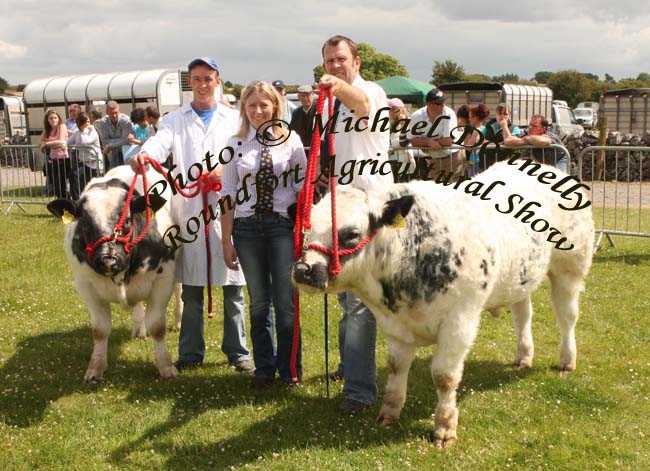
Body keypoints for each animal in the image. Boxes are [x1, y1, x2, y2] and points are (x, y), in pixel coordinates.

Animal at [48, 167, 182, 384]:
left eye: (126, 220)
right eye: (85, 223)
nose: (108, 260)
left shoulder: (163, 280)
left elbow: (157, 326)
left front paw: (166, 367)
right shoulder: (86, 286)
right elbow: (99, 330)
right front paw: (95, 369)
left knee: (180, 292)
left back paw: (178, 321)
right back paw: (138, 329)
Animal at [292, 161, 592, 450]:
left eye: (352, 234)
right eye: (306, 229)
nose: (304, 270)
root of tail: (548, 169)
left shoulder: (460, 321)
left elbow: (444, 376)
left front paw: (445, 428)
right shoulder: (395, 327)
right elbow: (396, 367)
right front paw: (389, 413)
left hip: (570, 270)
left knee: (566, 316)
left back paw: (567, 360)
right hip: (520, 278)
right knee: (522, 315)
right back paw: (523, 356)